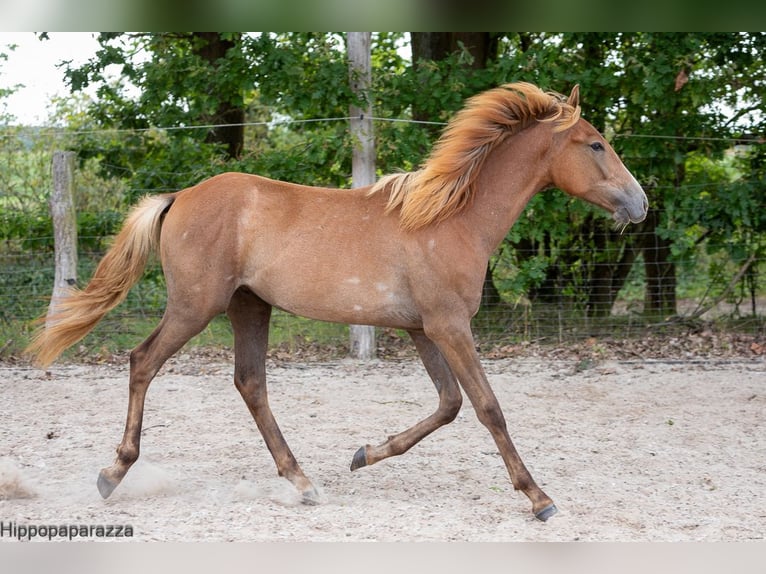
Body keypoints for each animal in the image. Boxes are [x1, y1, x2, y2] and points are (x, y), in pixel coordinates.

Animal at [25, 83, 648, 524]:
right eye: (596, 143)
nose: (640, 204)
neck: (450, 218)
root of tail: (180, 196)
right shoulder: (449, 326)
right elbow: (488, 407)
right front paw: (539, 497)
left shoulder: (424, 329)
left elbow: (449, 405)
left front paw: (364, 453)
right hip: (194, 308)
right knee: (143, 362)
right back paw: (113, 473)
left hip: (249, 307)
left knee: (250, 383)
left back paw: (303, 482)